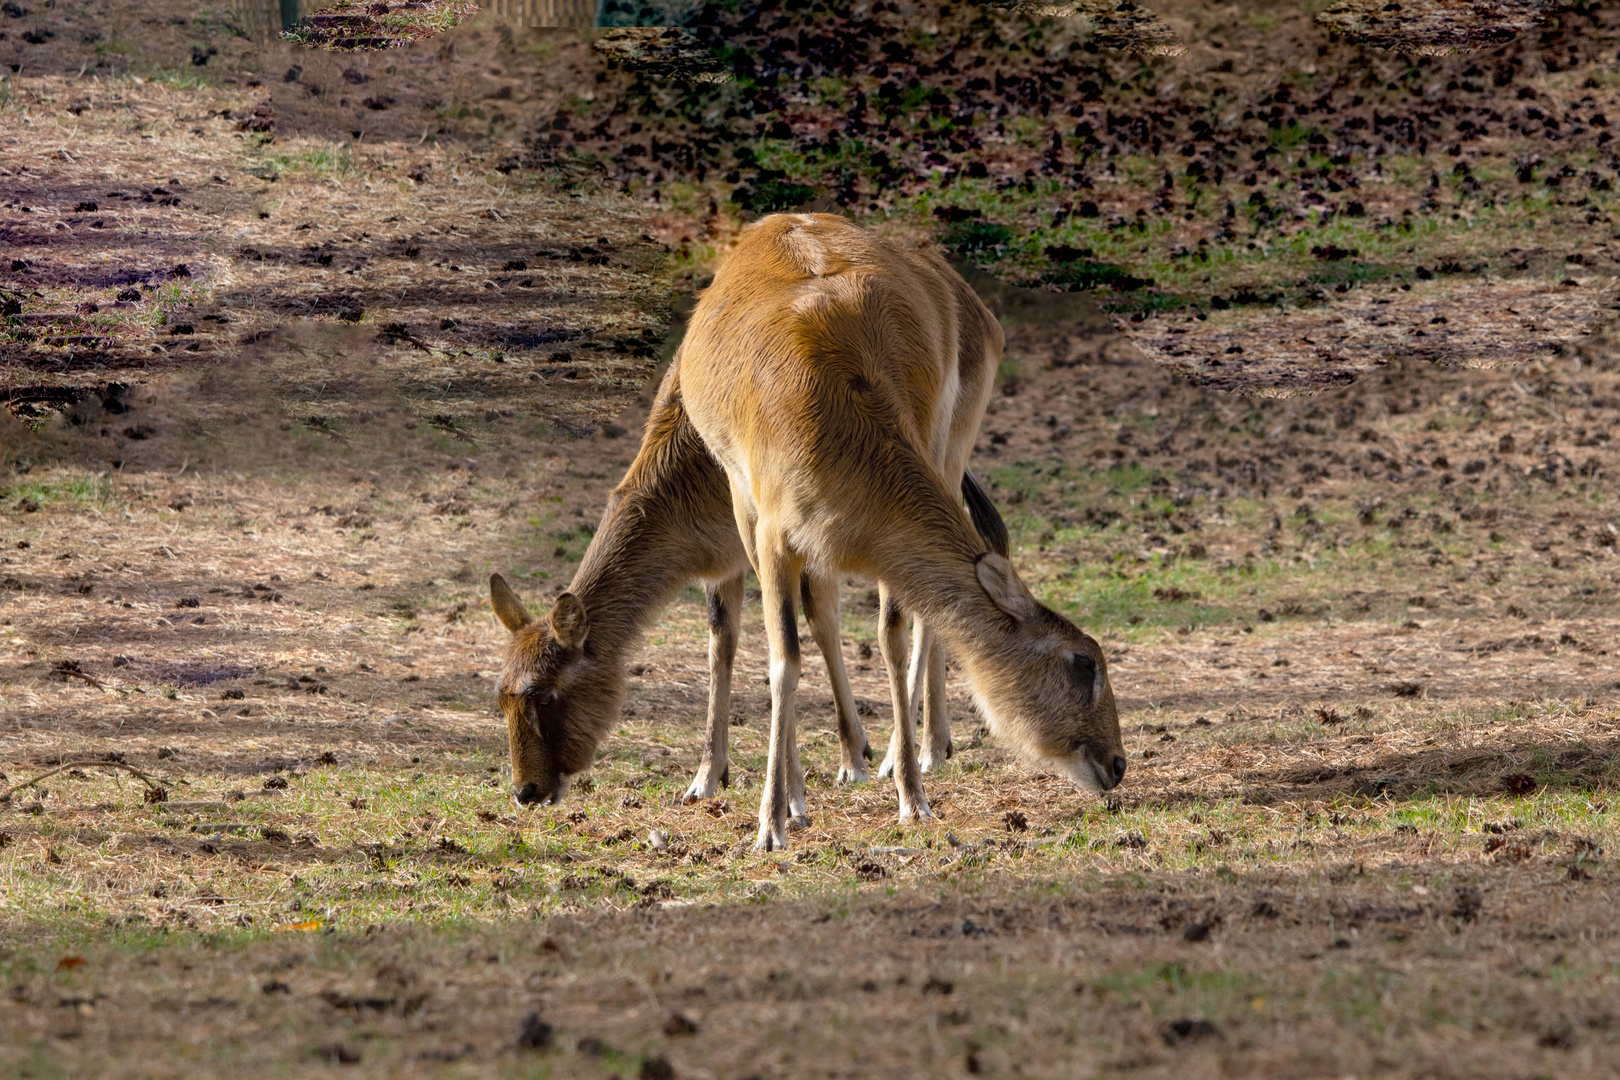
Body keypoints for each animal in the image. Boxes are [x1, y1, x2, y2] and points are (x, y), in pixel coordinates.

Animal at [486, 338, 1004, 809]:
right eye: (502, 697)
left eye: (545, 695)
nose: (525, 790)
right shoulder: (726, 561)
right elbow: (724, 642)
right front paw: (706, 779)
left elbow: (818, 625)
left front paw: (846, 763)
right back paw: (933, 745)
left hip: (942, 460)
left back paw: (918, 751)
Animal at [677, 213, 1121, 854]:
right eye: (1084, 661)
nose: (1117, 763)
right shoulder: (771, 531)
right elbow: (784, 660)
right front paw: (772, 821)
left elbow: (891, 634)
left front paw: (913, 796)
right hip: (743, 502)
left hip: (947, 448)